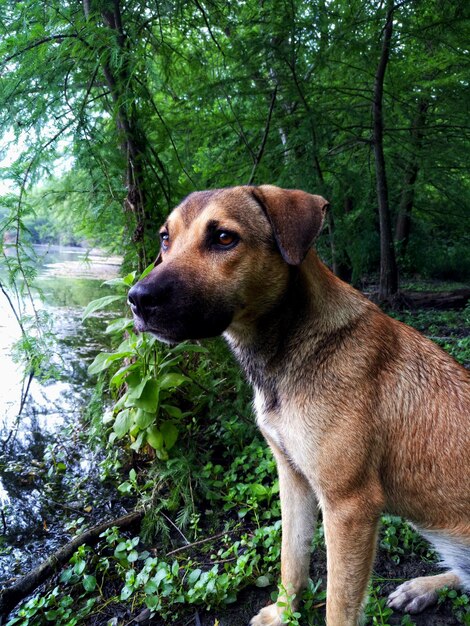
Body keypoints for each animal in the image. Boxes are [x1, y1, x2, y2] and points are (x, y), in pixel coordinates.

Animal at [126, 185, 468, 624]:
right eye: (165, 238)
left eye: (224, 238)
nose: (137, 299)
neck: (292, 347)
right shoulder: (293, 476)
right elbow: (292, 558)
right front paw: (284, 612)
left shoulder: (349, 506)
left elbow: (339, 606)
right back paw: (421, 588)